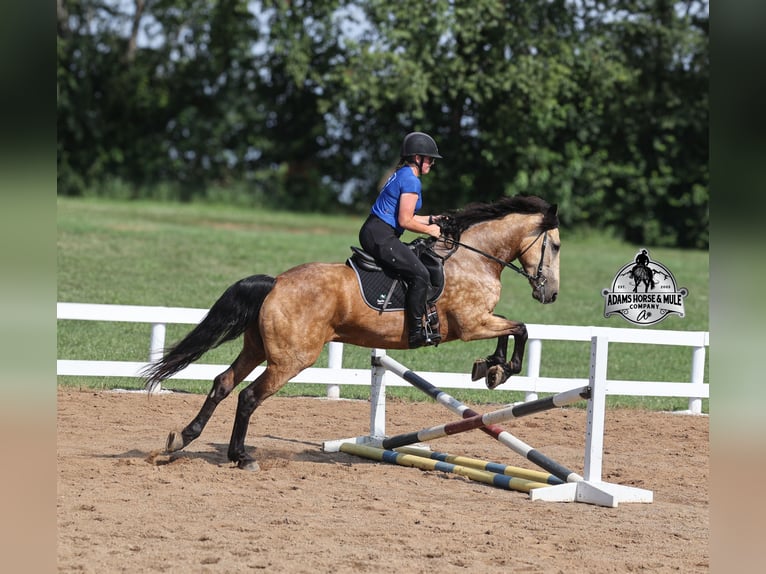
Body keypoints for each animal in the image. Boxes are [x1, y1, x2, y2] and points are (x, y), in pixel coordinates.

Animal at [142, 195, 561, 471]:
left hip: (257, 348)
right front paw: (499, 369)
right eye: (555, 246)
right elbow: (520, 329)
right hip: (291, 359)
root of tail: (276, 282)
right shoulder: (472, 323)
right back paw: (241, 456)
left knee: (223, 383)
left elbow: (512, 330)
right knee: (248, 396)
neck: (474, 258)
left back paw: (182, 440)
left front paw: (490, 368)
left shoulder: (480, 321)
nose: (551, 294)